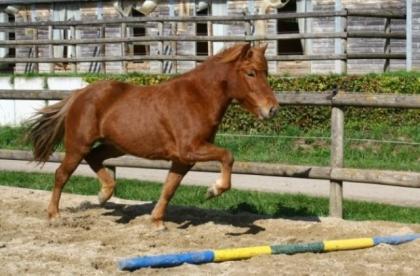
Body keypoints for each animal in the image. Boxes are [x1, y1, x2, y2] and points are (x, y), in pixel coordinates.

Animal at [27, 42, 278, 229]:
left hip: (115, 146)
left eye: (265, 72)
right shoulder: (191, 149)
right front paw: (213, 190)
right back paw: (54, 215)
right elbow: (228, 156)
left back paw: (104, 194)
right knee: (61, 174)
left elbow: (169, 188)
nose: (272, 109)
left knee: (95, 158)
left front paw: (157, 221)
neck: (198, 98)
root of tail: (80, 93)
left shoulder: (183, 159)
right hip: (77, 145)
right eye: (251, 73)